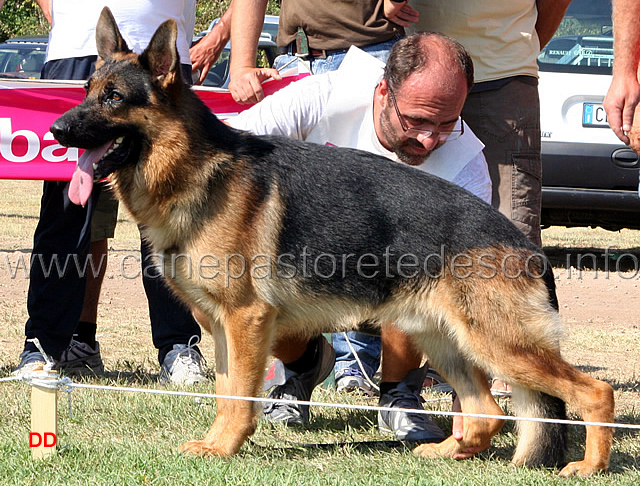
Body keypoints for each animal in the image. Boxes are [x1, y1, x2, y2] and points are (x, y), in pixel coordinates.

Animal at [51, 8, 616, 478]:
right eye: (86, 91)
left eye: (115, 98)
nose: (57, 129)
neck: (193, 168)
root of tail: (525, 244)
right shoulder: (221, 326)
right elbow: (225, 391)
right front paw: (218, 443)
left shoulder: (245, 320)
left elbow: (238, 396)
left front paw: (223, 448)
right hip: (446, 339)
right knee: (486, 415)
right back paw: (445, 452)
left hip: (500, 344)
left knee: (595, 391)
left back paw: (589, 466)